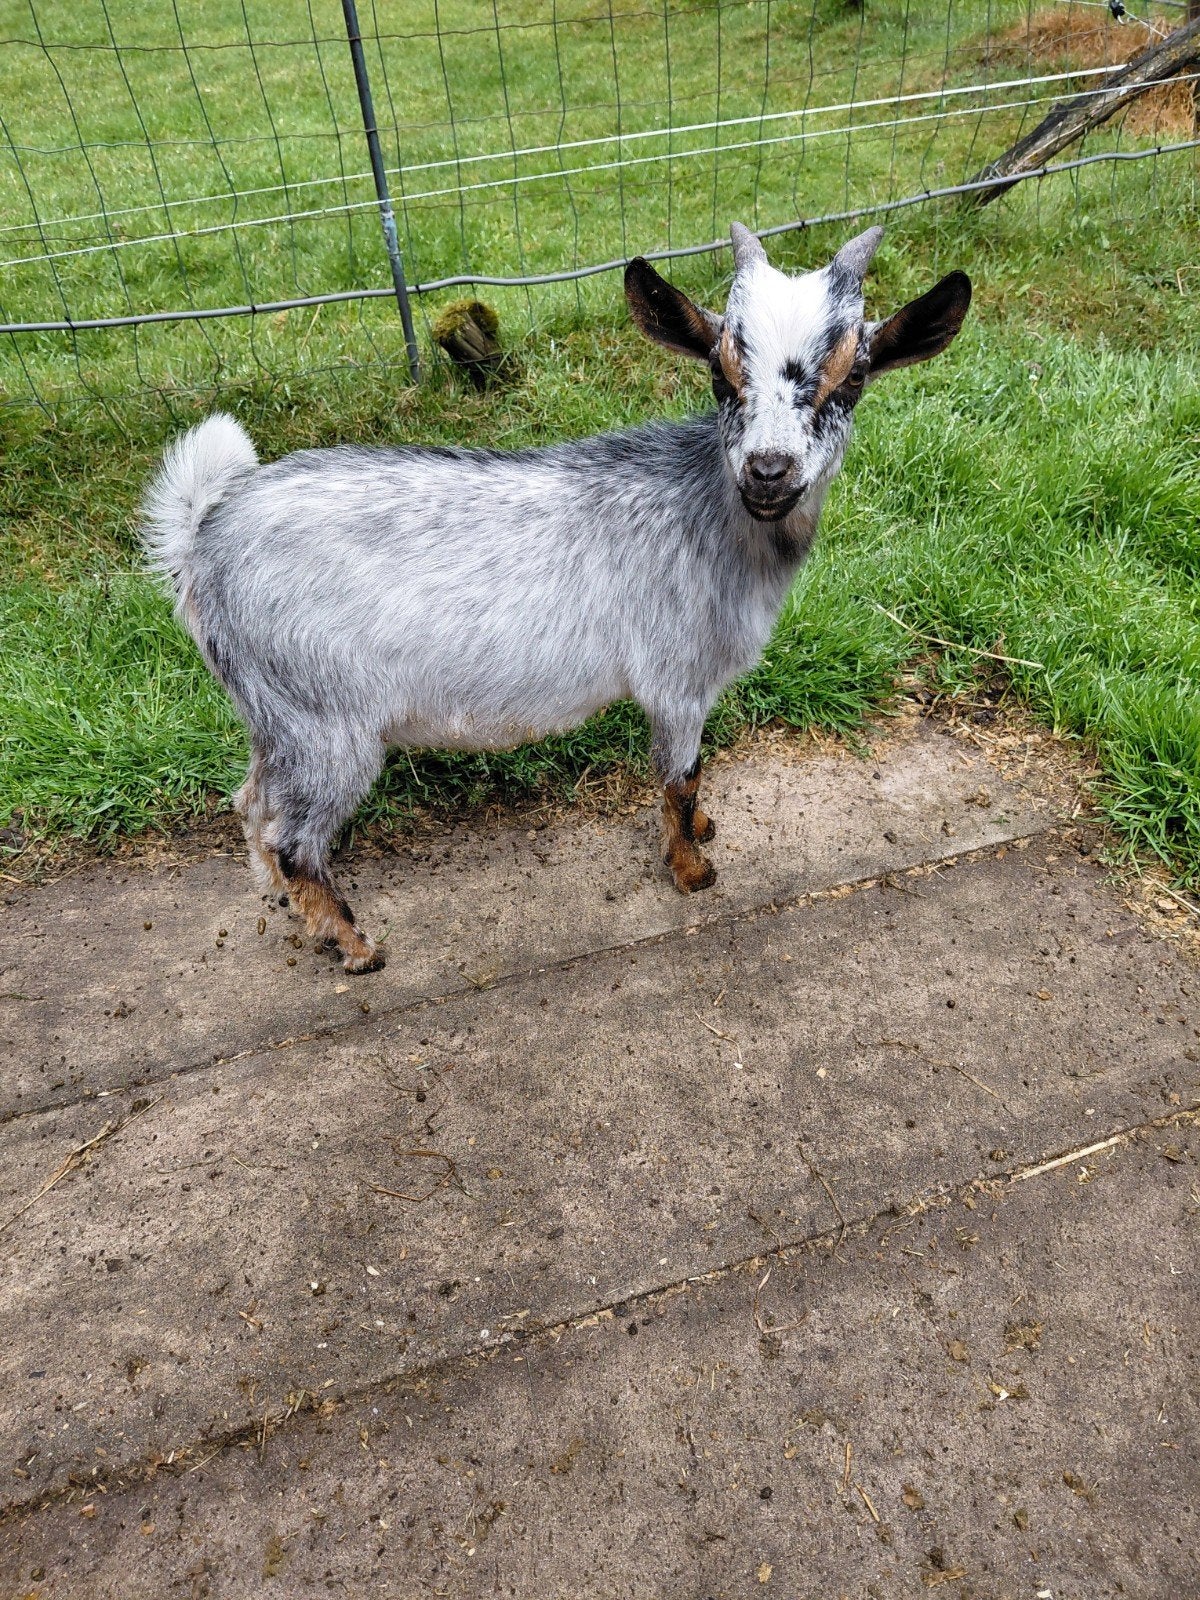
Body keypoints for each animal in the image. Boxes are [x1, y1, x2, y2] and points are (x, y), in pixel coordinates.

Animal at [143, 222, 971, 973]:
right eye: (719, 372)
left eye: (854, 376)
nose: (769, 471)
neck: (709, 513)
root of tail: (200, 539)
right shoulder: (674, 679)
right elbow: (680, 777)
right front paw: (692, 871)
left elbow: (694, 780)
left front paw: (703, 832)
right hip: (325, 724)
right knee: (292, 836)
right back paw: (354, 946)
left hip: (273, 714)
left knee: (251, 803)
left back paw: (282, 902)